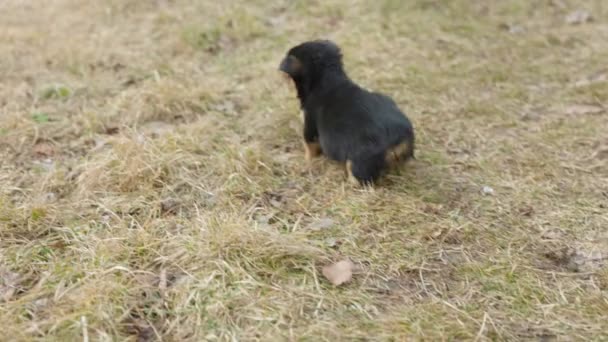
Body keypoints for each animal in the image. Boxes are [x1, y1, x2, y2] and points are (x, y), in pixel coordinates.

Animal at [280, 39, 414, 184]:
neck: (328, 79)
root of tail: (397, 138)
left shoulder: (309, 124)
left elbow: (309, 146)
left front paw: (306, 160)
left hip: (359, 160)